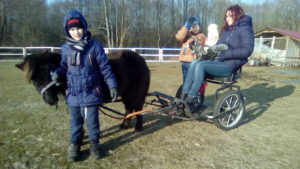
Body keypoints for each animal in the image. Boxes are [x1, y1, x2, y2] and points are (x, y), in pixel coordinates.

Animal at [14, 50, 150, 131]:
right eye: (34, 79)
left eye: (50, 71)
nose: (50, 100)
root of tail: (141, 60)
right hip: (127, 94)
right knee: (129, 108)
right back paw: (124, 126)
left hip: (135, 93)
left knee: (137, 108)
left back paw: (138, 127)